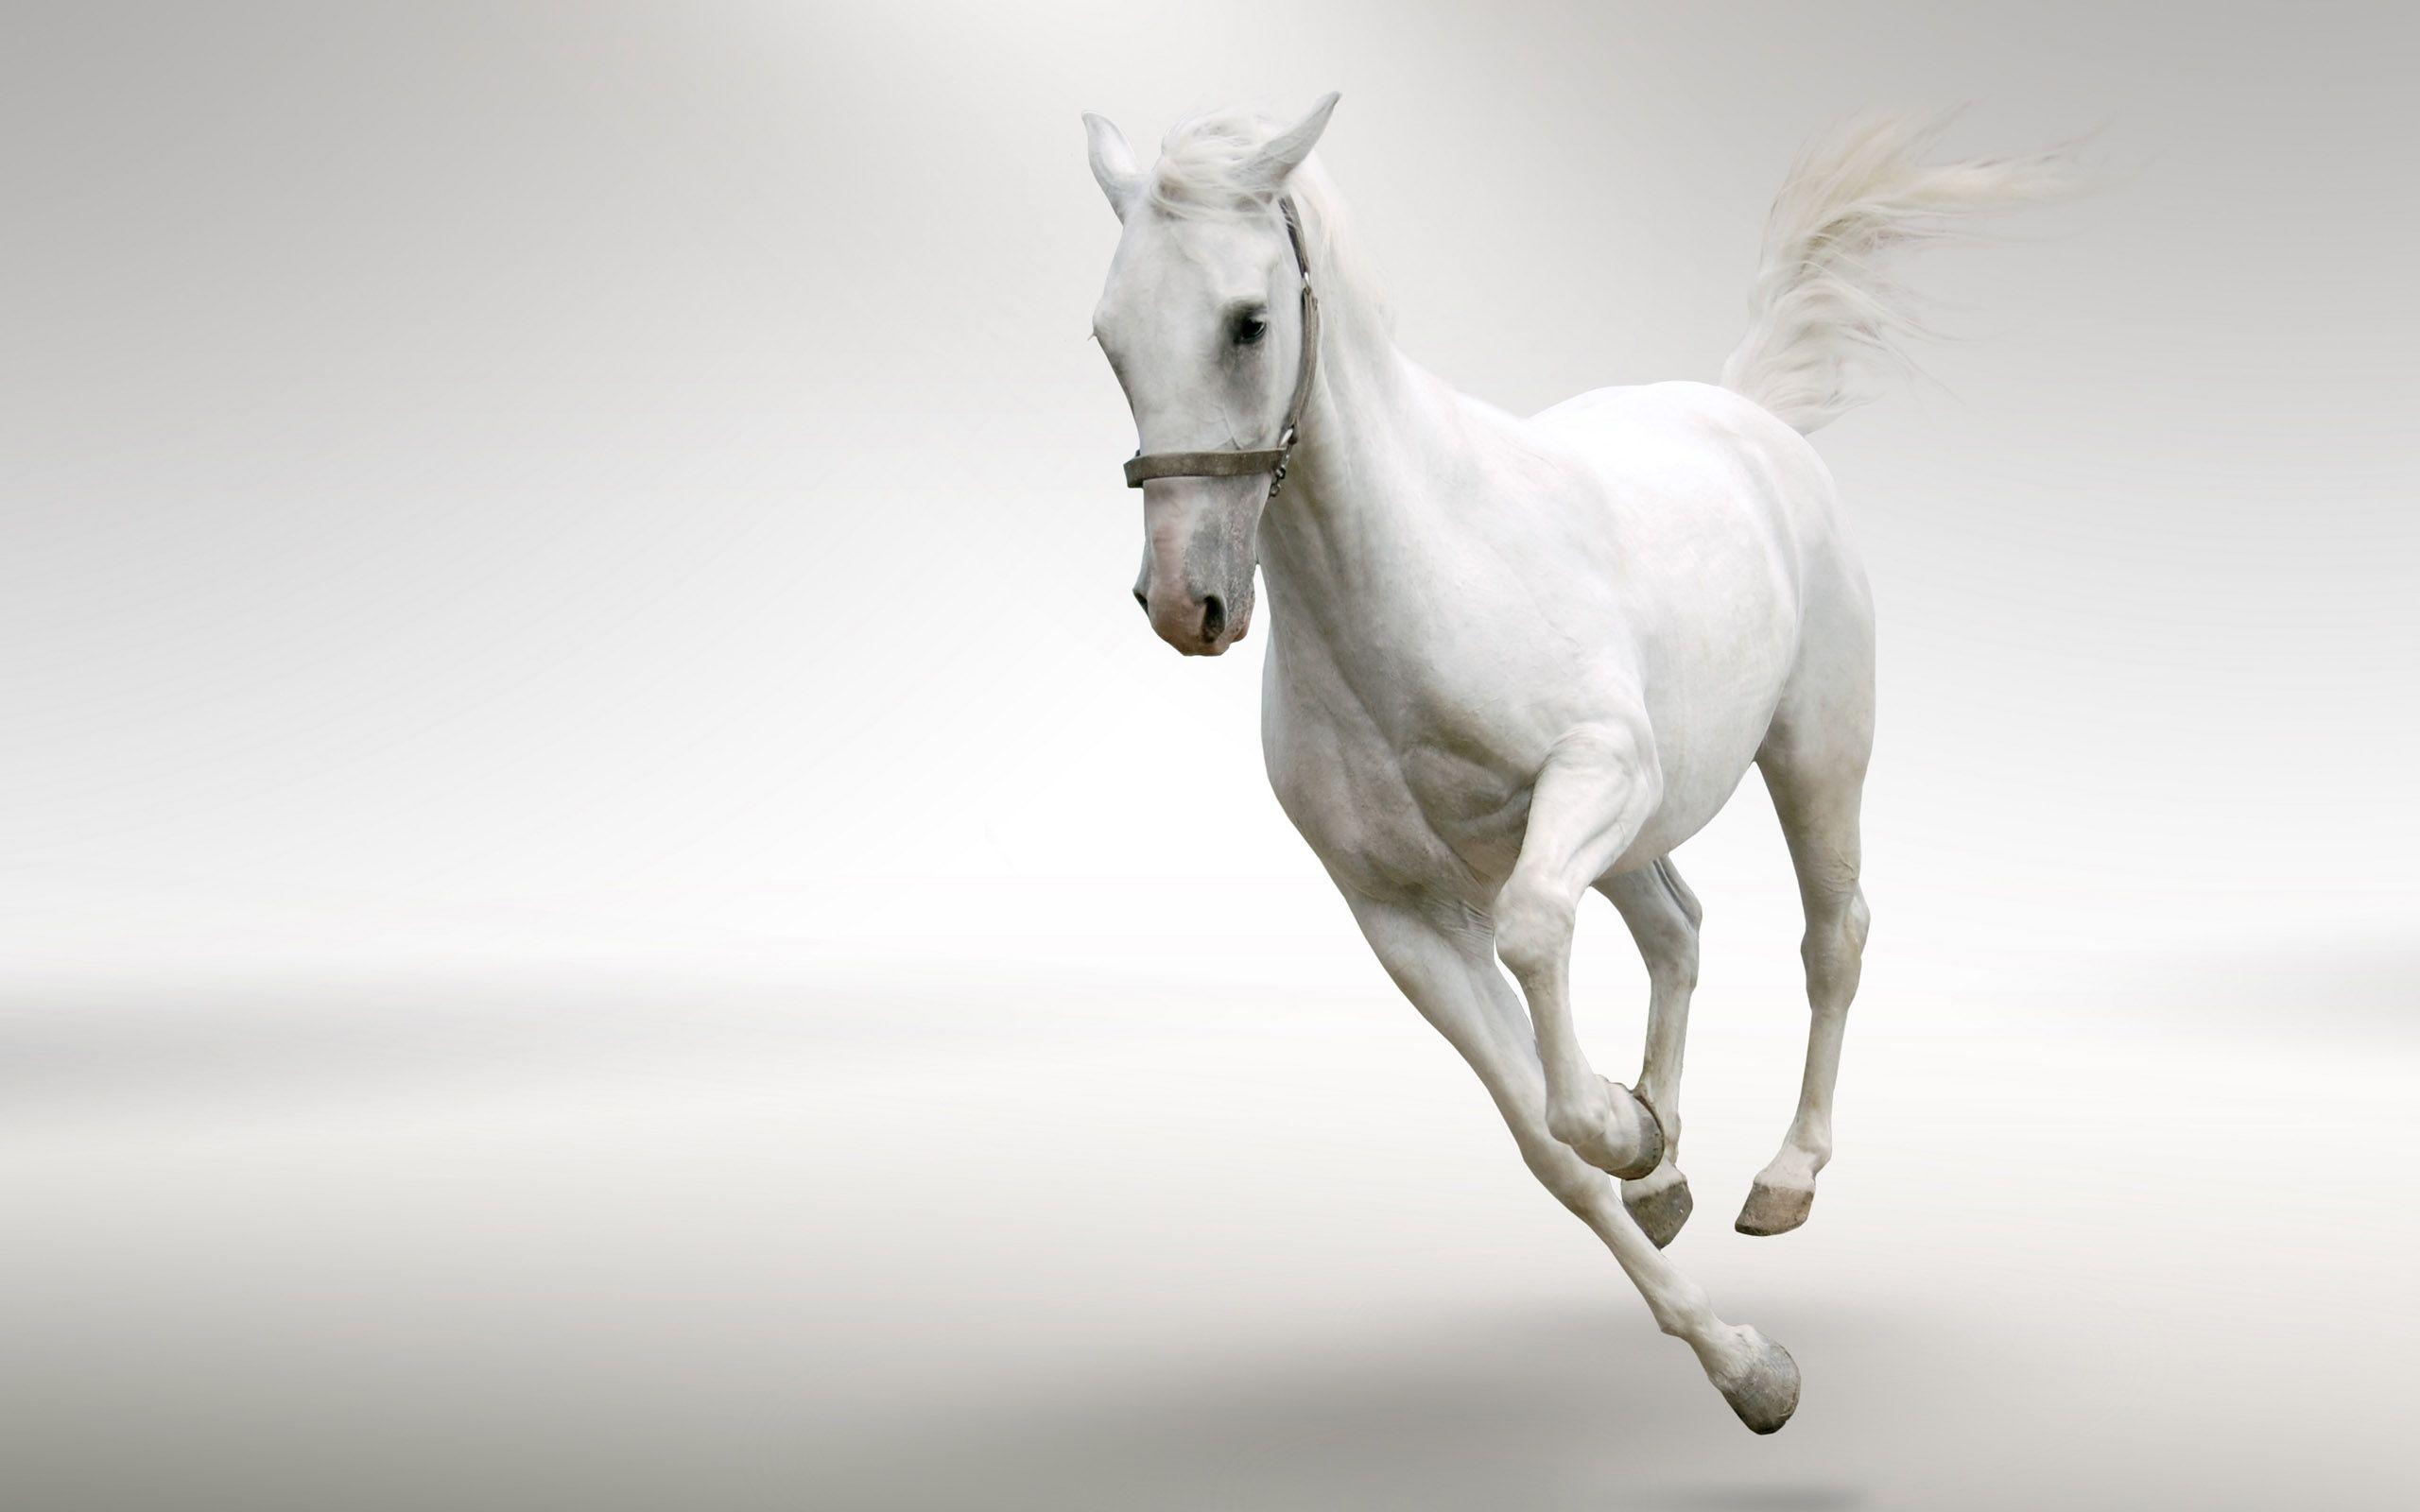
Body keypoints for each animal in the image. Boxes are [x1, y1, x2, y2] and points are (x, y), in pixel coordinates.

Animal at [1081, 94, 2077, 1433]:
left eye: (1247, 321)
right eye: (1108, 339)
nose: (1187, 605)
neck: (1413, 579)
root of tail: (1744, 413)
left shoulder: (1595, 778)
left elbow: (1537, 941)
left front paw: (1627, 1130)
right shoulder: (1399, 916)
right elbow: (1548, 1151)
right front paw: (1737, 1346)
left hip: (1811, 752)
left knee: (1832, 937)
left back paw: (1784, 1175)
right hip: (1644, 834)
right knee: (1678, 928)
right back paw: (1672, 1167)